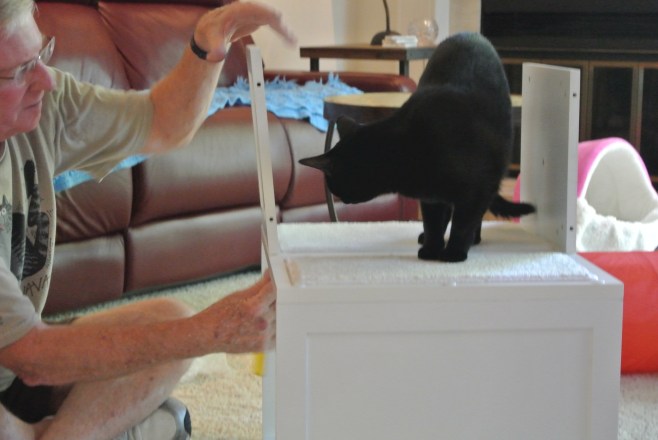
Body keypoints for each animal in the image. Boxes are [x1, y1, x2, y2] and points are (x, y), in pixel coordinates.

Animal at [299, 32, 535, 262]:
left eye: (333, 185)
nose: (343, 200)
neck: (408, 148)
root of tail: (469, 34)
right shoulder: (431, 197)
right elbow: (432, 223)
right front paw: (432, 249)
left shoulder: (476, 191)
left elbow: (463, 224)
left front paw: (454, 252)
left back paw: (472, 240)